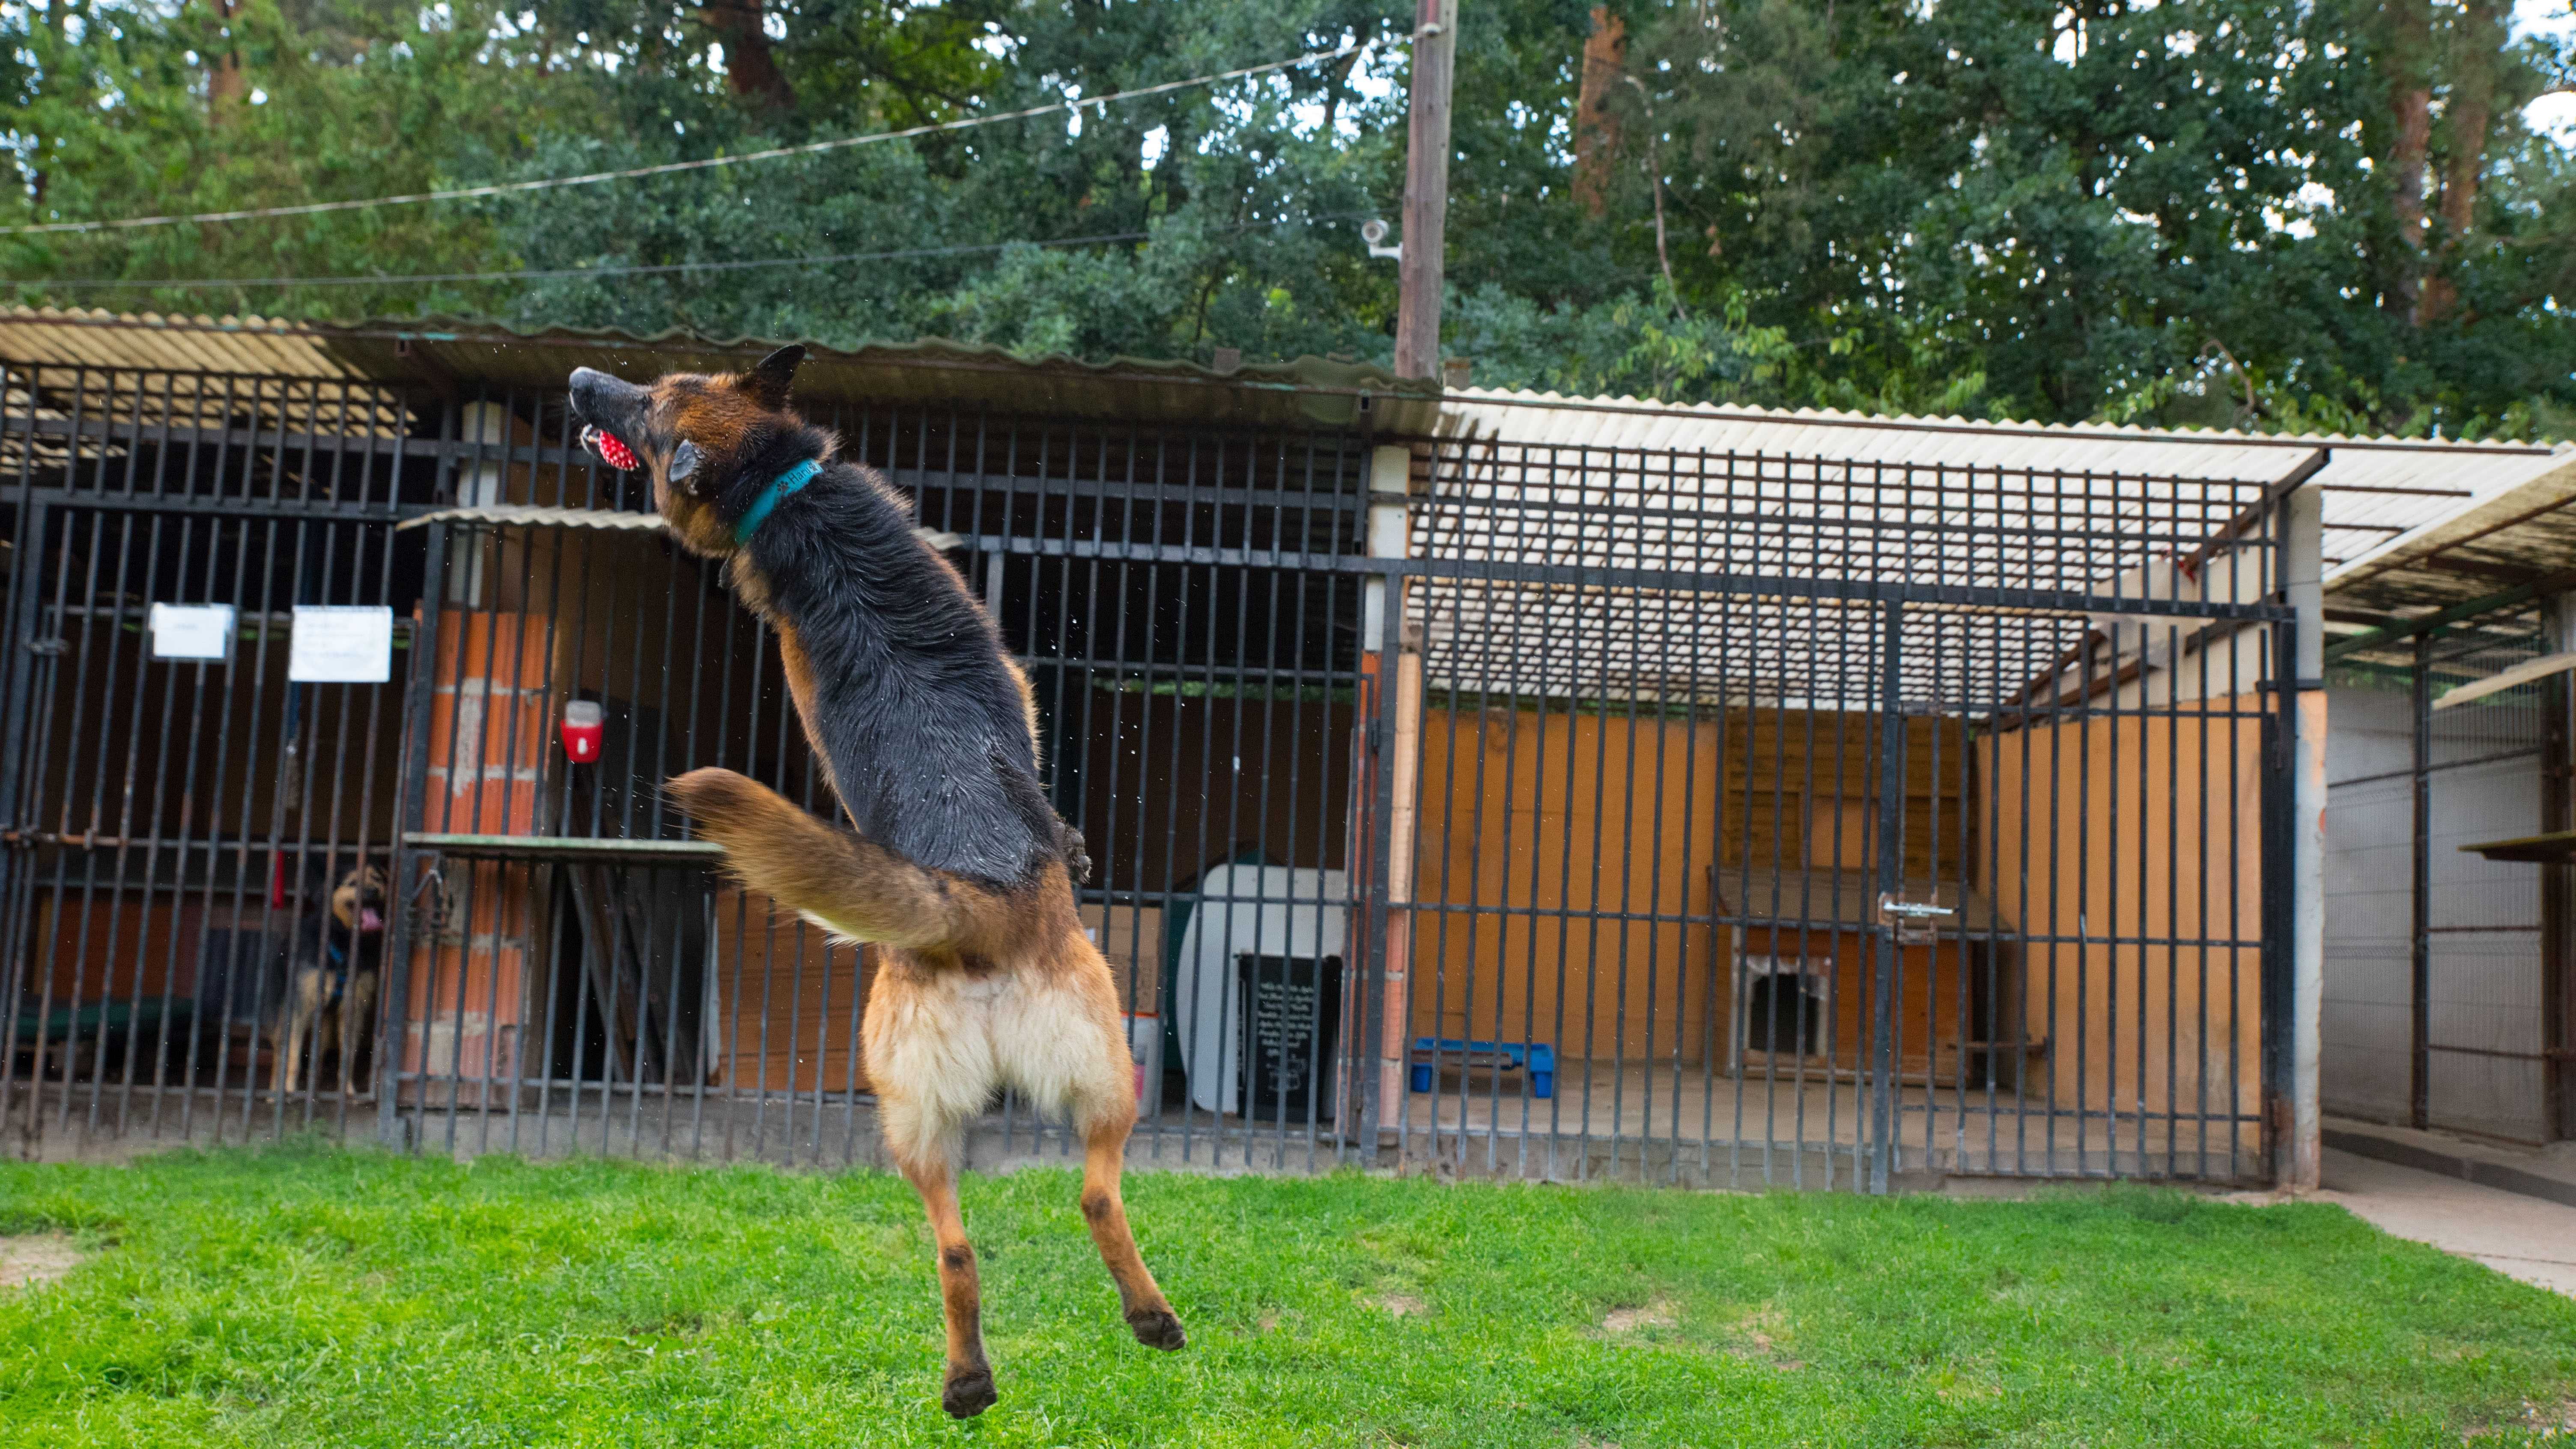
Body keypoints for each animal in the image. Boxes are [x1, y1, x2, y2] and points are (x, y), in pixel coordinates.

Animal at [569, 348, 1180, 1413]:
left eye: (653, 395)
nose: (577, 377)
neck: (785, 492)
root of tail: (975, 906)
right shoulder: (1019, 690)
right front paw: (1074, 846)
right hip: (1082, 1073)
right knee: (1086, 1196)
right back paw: (1122, 1328)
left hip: (947, 1112)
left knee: (976, 1241)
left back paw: (989, 1373)